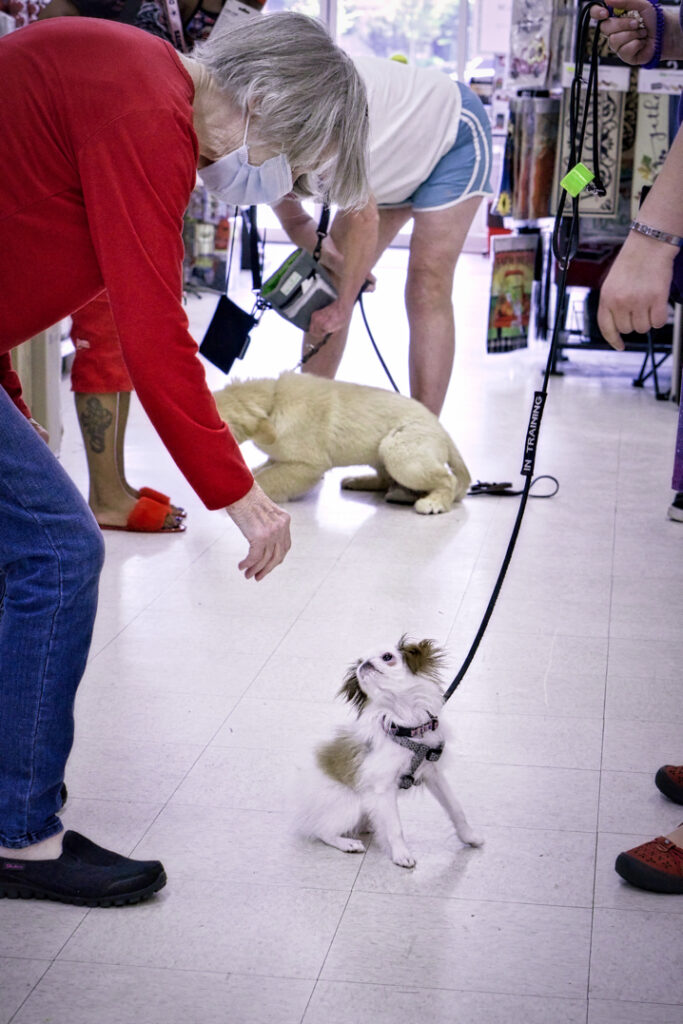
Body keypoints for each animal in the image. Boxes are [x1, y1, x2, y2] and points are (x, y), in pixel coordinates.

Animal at [296, 634, 483, 868]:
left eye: (387, 657)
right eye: (359, 664)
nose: (365, 664)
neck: (407, 728)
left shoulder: (433, 774)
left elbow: (455, 808)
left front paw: (469, 837)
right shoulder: (383, 787)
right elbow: (395, 827)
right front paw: (402, 855)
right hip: (351, 803)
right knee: (323, 831)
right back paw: (348, 843)